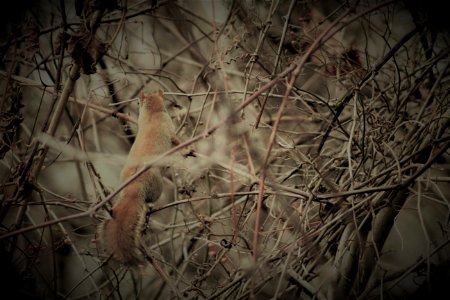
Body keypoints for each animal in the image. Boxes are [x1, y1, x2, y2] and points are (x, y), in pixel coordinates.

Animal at [97, 90, 175, 266]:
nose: (137, 101)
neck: (153, 112)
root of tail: (134, 186)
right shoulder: (168, 125)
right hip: (157, 185)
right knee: (151, 199)